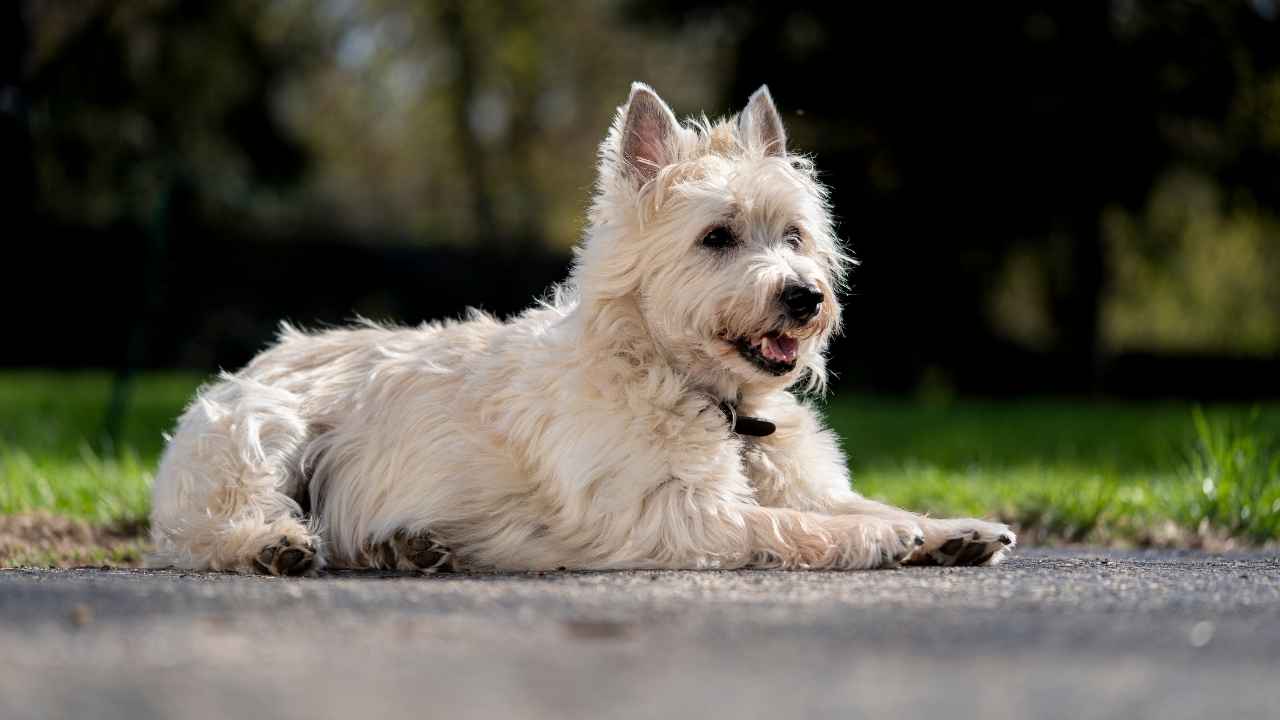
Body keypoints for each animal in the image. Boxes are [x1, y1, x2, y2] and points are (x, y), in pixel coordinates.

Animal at [149, 83, 1013, 573]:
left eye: (794, 235)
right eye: (718, 237)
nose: (805, 297)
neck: (717, 403)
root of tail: (256, 361)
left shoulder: (791, 481)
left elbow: (861, 504)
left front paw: (947, 529)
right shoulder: (676, 515)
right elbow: (791, 523)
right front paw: (882, 544)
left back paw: (408, 548)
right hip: (261, 434)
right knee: (207, 532)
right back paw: (275, 547)